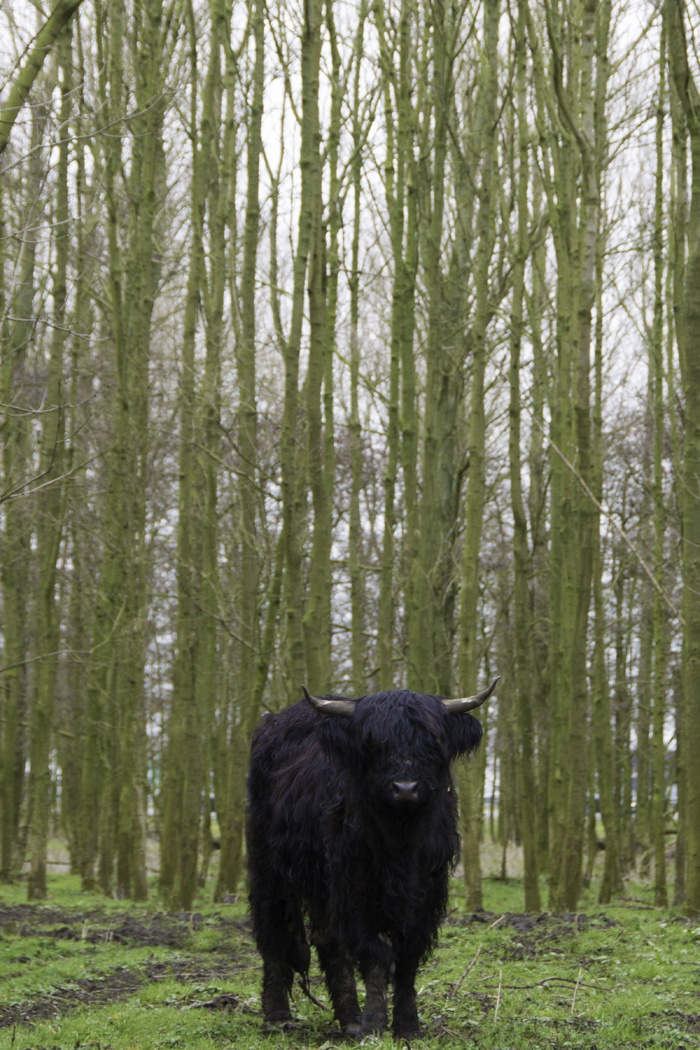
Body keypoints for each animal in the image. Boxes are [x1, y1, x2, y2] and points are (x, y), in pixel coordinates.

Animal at [246, 676, 497, 1037]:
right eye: (374, 742)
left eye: (433, 740)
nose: (405, 788)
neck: (401, 839)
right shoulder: (357, 888)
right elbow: (375, 952)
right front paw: (375, 1023)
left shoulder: (426, 892)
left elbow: (408, 956)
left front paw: (407, 1025)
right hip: (269, 865)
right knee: (275, 932)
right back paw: (279, 1015)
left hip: (322, 884)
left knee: (328, 939)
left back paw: (349, 1017)